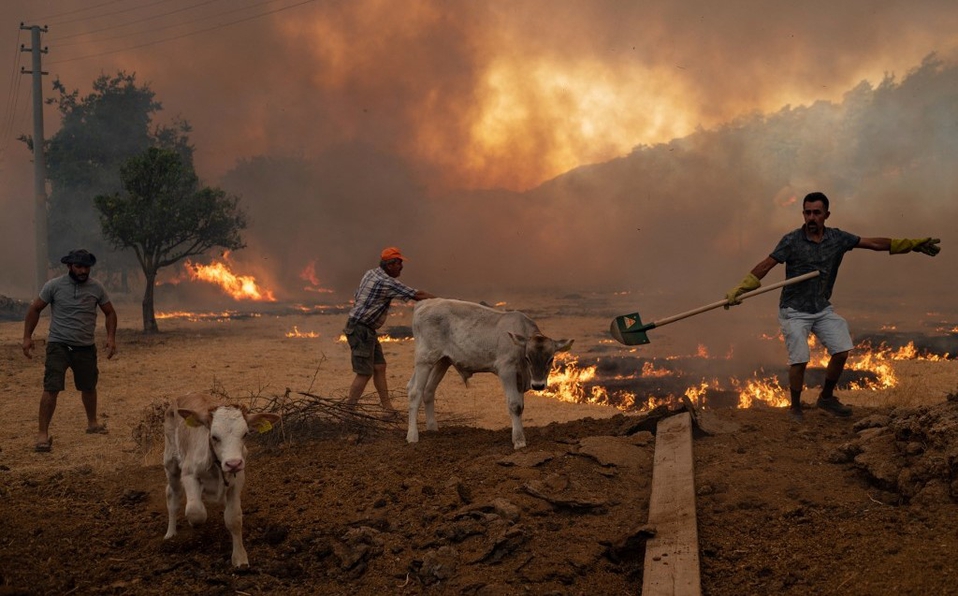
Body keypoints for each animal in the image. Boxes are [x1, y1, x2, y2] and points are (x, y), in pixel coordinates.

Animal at [161, 392, 280, 568]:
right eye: (214, 436)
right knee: (173, 496)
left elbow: (233, 518)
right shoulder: (189, 474)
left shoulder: (237, 480)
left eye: (245, 434)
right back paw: (170, 533)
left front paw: (240, 558)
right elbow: (196, 511)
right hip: (171, 464)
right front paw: (194, 522)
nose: (233, 463)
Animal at [404, 300, 568, 450]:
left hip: (442, 361)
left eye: (550, 359)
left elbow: (521, 407)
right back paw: (412, 435)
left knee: (428, 390)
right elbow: (514, 405)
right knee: (415, 392)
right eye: (528, 357)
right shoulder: (506, 371)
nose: (538, 385)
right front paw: (519, 441)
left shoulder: (520, 379)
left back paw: (432, 428)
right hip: (425, 360)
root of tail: (424, 303)